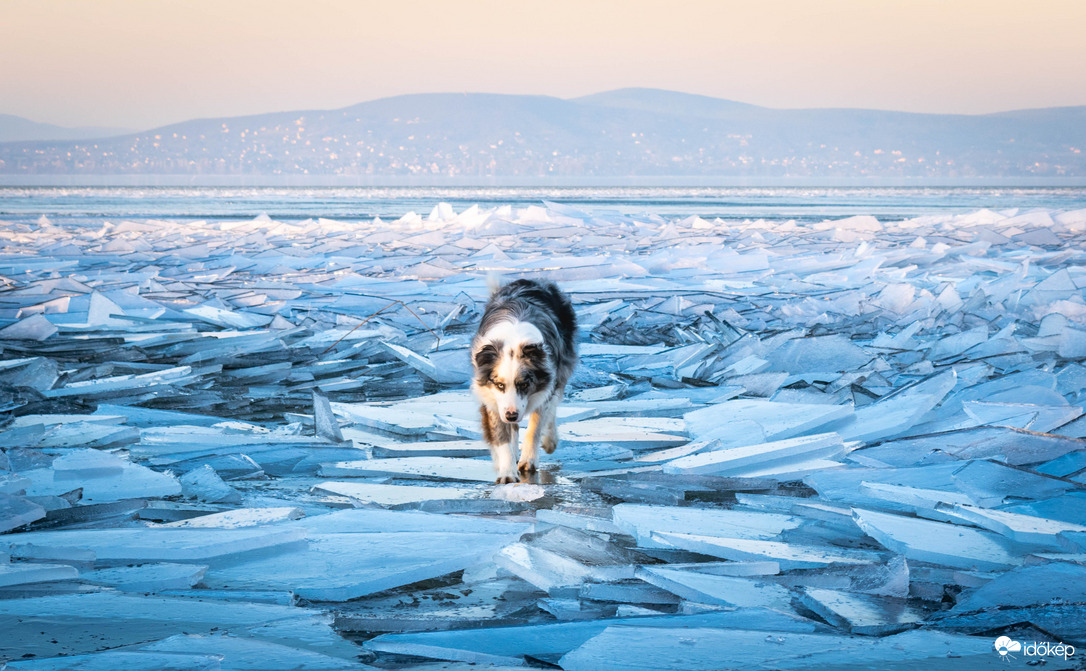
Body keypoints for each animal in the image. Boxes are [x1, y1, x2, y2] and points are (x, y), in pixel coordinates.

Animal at [473, 276, 577, 479]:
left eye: (524, 384)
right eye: (499, 385)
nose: (511, 415)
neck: (513, 340)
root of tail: (529, 280)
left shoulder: (544, 384)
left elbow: (536, 426)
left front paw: (528, 461)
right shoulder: (492, 397)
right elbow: (501, 434)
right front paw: (507, 471)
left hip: (562, 368)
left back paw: (550, 440)